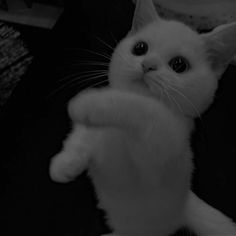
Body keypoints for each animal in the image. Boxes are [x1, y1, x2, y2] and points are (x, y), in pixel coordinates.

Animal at [49, 0, 236, 235]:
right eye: (140, 48)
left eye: (179, 64)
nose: (148, 65)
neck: (116, 131)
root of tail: (184, 205)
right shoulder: (92, 131)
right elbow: (81, 135)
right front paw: (65, 163)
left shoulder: (161, 143)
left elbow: (141, 109)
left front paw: (89, 104)